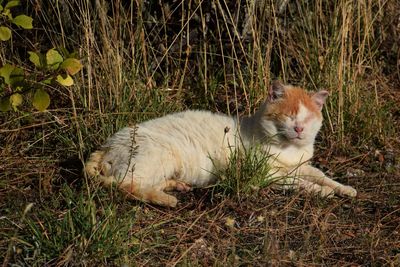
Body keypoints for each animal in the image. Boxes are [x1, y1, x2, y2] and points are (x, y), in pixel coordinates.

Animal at [86, 81, 358, 207]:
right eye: (289, 116)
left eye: (308, 118)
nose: (299, 128)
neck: (288, 151)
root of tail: (105, 145)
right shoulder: (266, 175)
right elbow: (300, 182)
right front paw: (323, 192)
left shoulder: (301, 165)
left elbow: (319, 174)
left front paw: (343, 188)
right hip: (156, 157)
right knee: (125, 186)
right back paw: (166, 199)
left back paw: (177, 186)